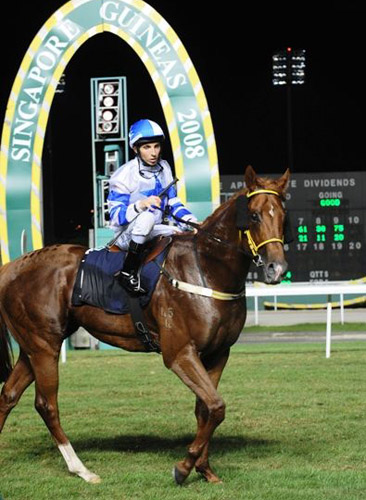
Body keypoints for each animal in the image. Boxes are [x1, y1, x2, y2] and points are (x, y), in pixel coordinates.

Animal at [0, 167, 288, 484]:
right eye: (254, 216)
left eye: (283, 215)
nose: (276, 268)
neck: (205, 270)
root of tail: (13, 266)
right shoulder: (179, 353)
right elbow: (216, 406)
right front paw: (184, 467)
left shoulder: (217, 353)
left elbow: (206, 410)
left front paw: (204, 468)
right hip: (44, 346)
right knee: (46, 404)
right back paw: (82, 469)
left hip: (32, 347)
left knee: (8, 395)